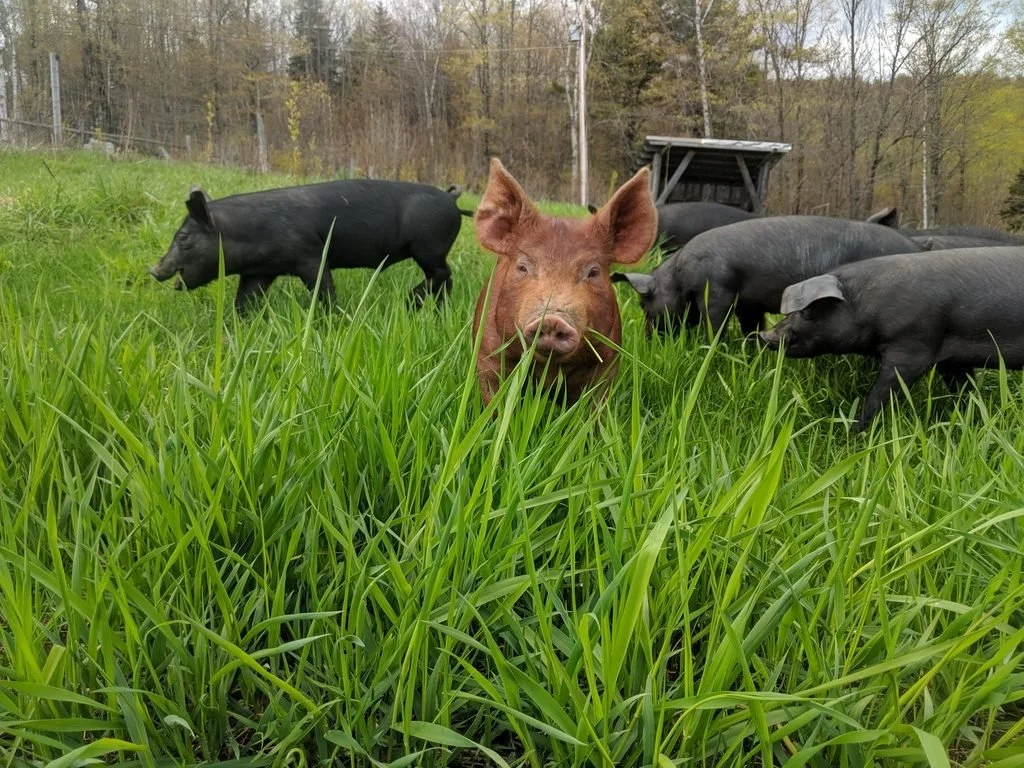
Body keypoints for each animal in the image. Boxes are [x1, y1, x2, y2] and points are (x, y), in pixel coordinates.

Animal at [150, 180, 471, 313]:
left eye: (183, 237)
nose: (153, 269)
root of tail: (451, 199)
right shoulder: (260, 271)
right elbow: (243, 301)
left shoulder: (311, 258)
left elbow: (323, 290)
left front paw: (331, 317)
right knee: (443, 278)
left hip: (429, 247)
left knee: (443, 274)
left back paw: (413, 303)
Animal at [473, 159, 657, 405]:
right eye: (522, 267)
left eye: (593, 272)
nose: (552, 319)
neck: (549, 368)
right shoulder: (487, 354)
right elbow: (494, 399)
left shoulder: (607, 362)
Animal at [613, 215, 924, 337]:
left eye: (642, 304)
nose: (648, 338)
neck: (678, 277)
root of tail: (915, 247)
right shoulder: (749, 304)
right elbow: (752, 327)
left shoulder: (717, 291)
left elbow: (714, 325)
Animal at [760, 246, 1024, 431]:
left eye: (809, 311)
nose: (764, 335)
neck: (863, 303)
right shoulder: (951, 359)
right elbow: (964, 389)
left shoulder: (912, 345)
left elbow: (880, 394)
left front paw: (855, 434)